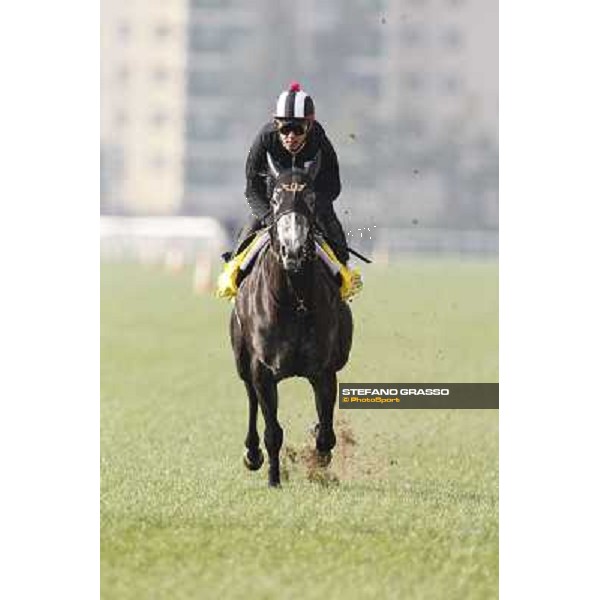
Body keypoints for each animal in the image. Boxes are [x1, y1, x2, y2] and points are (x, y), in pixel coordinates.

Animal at [229, 158, 352, 488]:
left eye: (309, 197)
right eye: (274, 200)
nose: (293, 250)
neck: (294, 299)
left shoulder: (323, 370)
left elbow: (326, 433)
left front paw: (319, 460)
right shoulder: (263, 370)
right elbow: (273, 431)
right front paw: (273, 478)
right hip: (242, 360)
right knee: (250, 398)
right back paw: (252, 454)